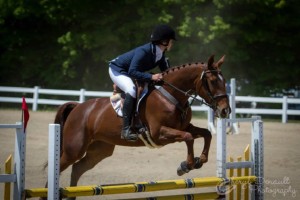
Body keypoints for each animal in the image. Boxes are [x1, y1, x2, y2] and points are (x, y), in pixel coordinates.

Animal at [45, 54, 231, 198]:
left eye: (224, 81)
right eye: (212, 81)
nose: (225, 111)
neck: (170, 95)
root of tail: (78, 107)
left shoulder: (184, 126)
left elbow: (206, 133)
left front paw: (200, 160)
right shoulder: (159, 133)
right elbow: (189, 137)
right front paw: (186, 166)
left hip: (99, 150)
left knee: (77, 168)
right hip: (74, 149)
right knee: (59, 167)